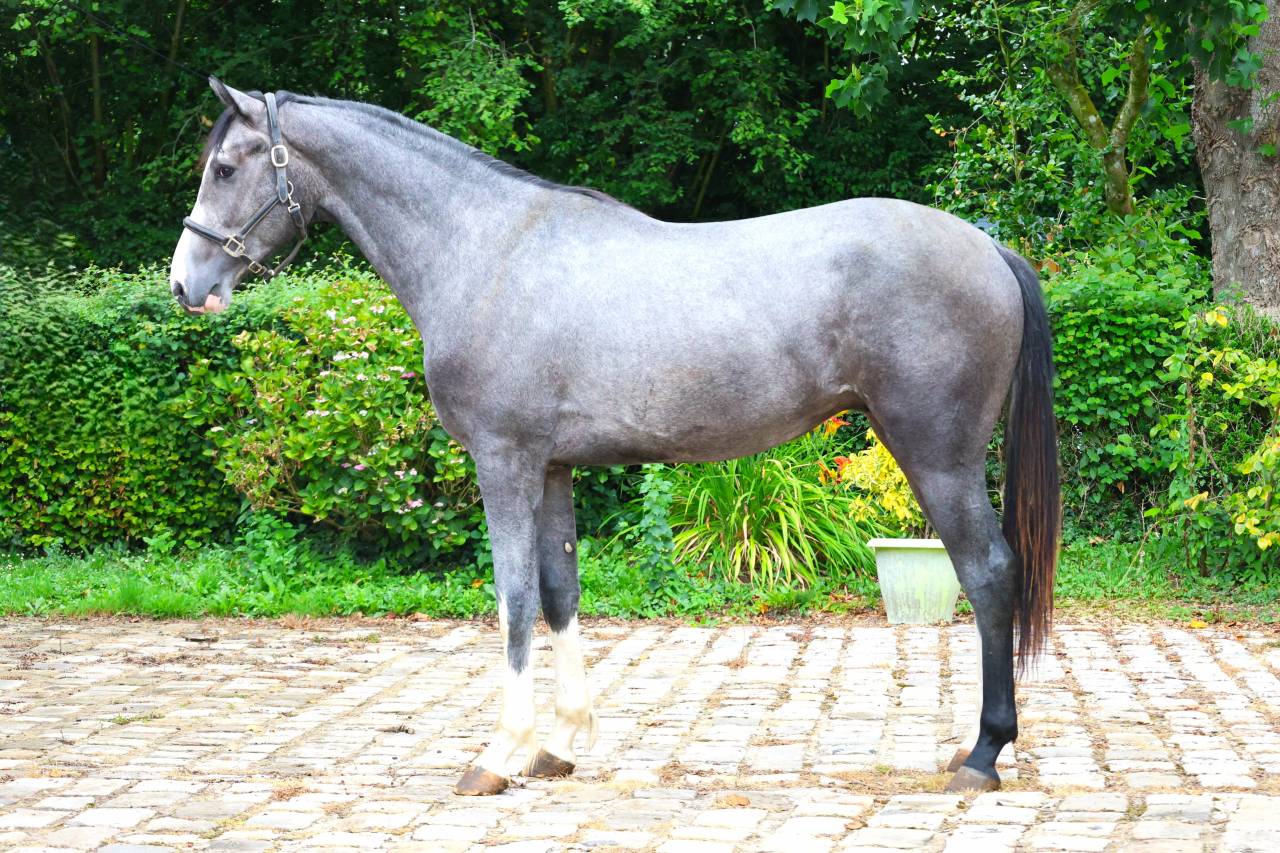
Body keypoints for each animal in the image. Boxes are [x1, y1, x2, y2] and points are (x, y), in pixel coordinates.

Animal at [170, 78, 1059, 796]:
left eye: (226, 169)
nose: (185, 284)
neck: (484, 251)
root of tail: (988, 246)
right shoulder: (553, 466)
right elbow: (561, 591)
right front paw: (559, 745)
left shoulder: (504, 461)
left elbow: (513, 598)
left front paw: (498, 754)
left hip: (937, 455)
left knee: (988, 573)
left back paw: (983, 754)